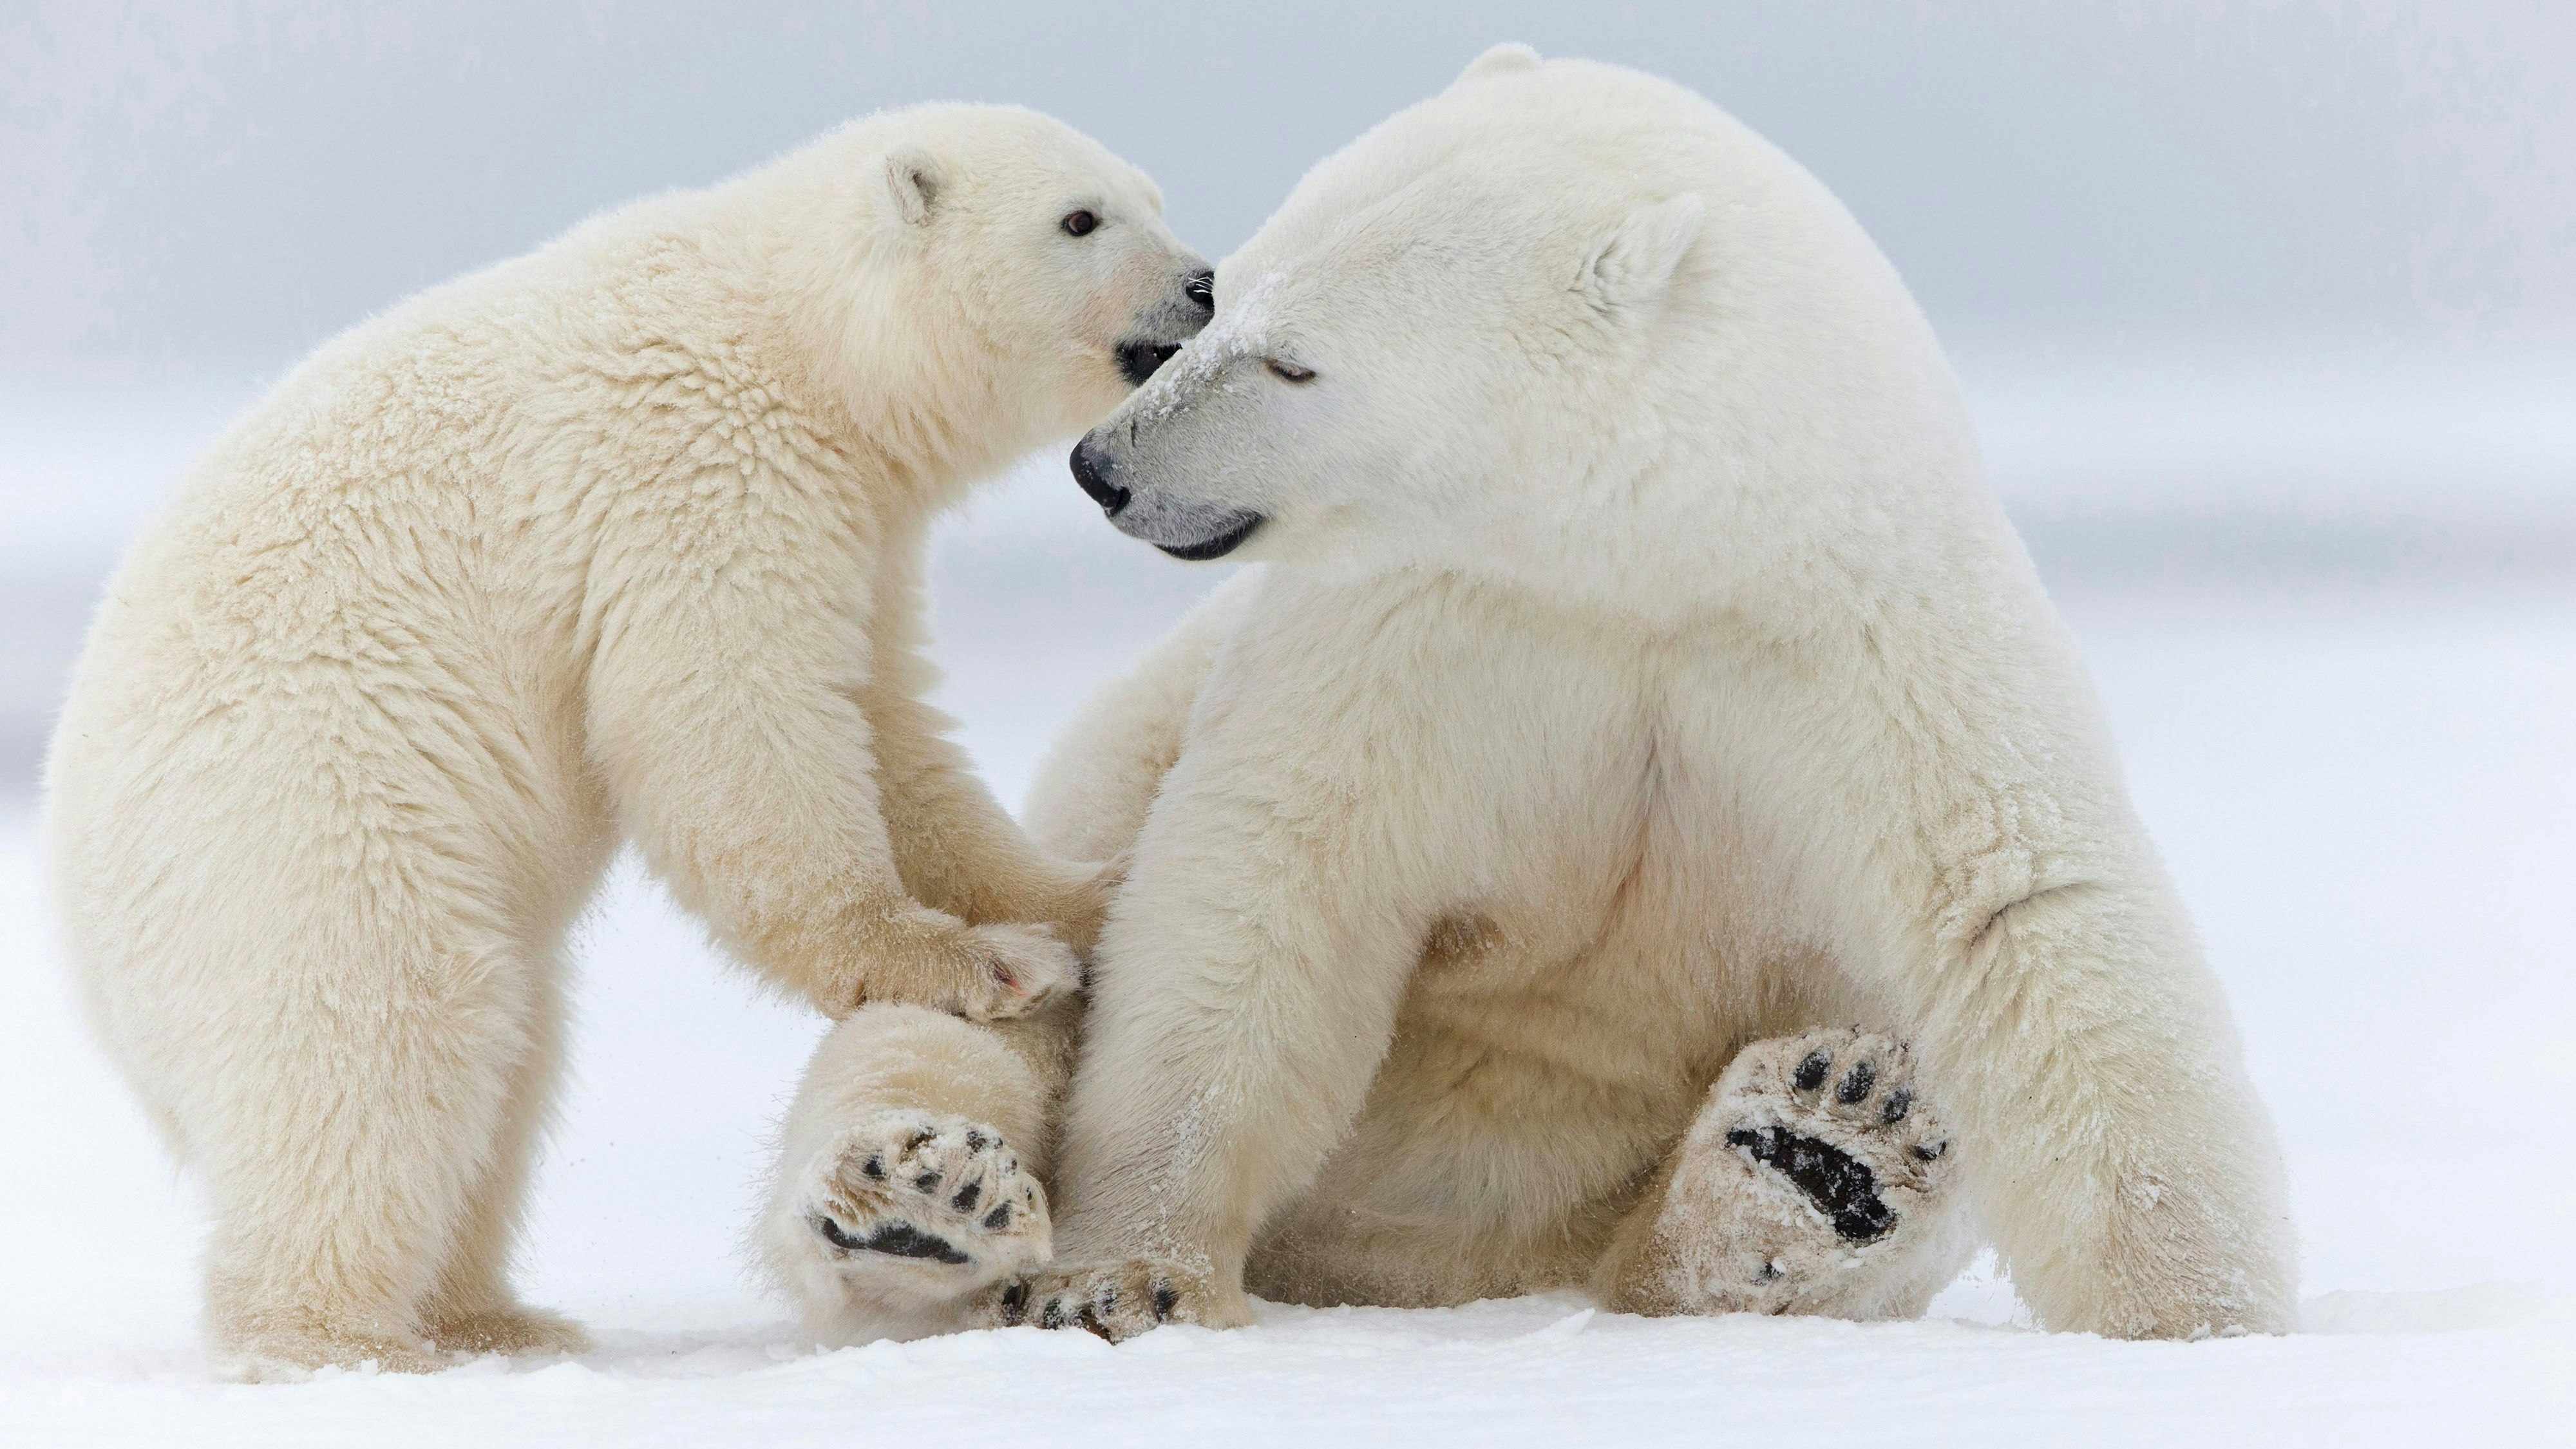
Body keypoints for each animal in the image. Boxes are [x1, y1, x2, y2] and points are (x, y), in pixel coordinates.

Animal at [40, 107, 1206, 1371]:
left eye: (1151, 195)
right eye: (1081, 218)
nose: (1203, 282)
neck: (798, 339)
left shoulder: (857, 525)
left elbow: (888, 728)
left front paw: (1085, 895)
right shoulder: (697, 473)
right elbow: (734, 721)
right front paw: (978, 963)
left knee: (512, 1063)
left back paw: (494, 1315)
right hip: (300, 817)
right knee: (384, 1033)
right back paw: (346, 1336)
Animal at [757, 48, 2298, 1340]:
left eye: (1294, 359)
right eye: (1224, 292)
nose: (1105, 467)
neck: (1638, 562)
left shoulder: (1856, 628)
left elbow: (2018, 909)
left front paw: (2201, 1319)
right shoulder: (1429, 628)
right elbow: (1265, 879)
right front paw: (1125, 1273)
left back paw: (1816, 1155)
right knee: (960, 1024)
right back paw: (920, 1208)